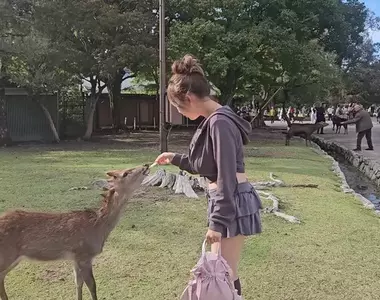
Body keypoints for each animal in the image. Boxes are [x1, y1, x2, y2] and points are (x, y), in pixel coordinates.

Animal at [0, 164, 150, 300]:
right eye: (126, 173)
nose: (146, 165)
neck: (99, 228)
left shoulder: (76, 258)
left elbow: (78, 284)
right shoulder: (84, 254)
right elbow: (92, 286)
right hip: (7, 254)